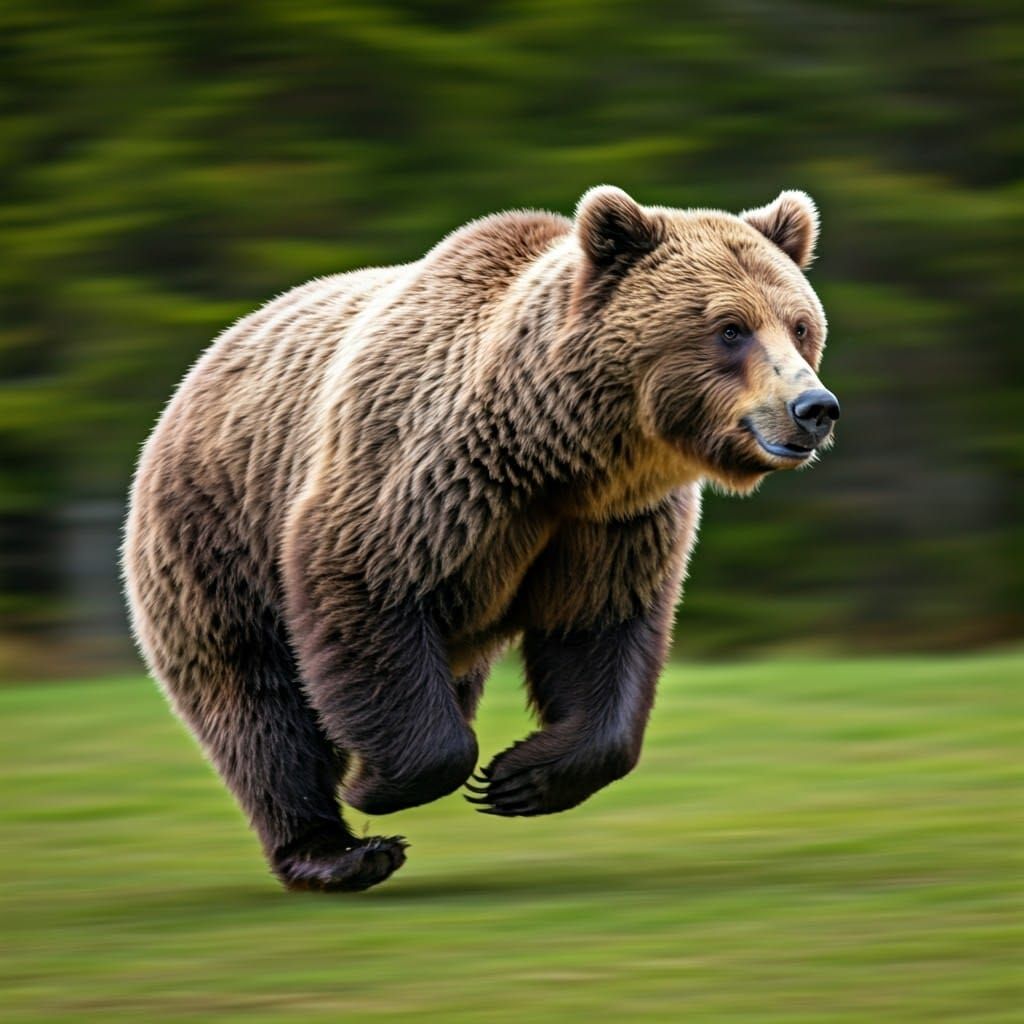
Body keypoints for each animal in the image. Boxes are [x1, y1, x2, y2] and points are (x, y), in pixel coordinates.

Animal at [123, 186, 838, 893]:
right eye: (730, 328)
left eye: (800, 325)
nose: (814, 408)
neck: (561, 453)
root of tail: (205, 362)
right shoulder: (422, 479)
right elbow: (367, 589)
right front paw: (377, 785)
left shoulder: (613, 525)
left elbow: (602, 631)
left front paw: (522, 776)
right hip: (216, 535)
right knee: (257, 706)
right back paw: (337, 853)